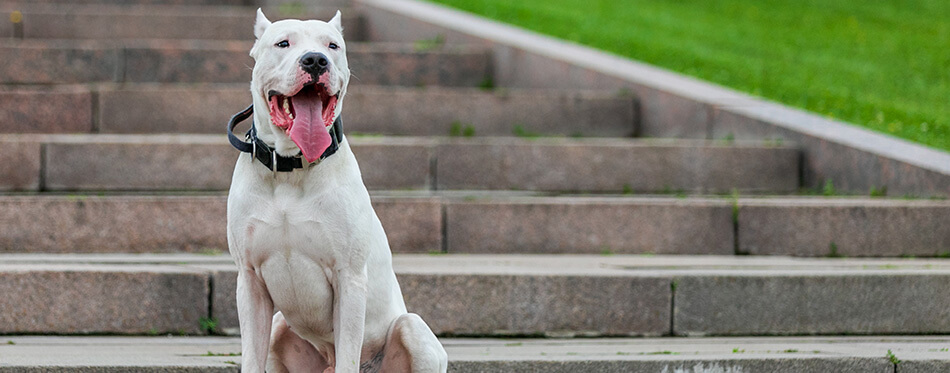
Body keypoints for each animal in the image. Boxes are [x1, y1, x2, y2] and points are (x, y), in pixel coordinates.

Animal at [226, 9, 446, 372]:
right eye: (283, 43)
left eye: (333, 45)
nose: (316, 60)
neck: (291, 169)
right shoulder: (250, 281)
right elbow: (251, 358)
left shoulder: (349, 279)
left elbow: (348, 349)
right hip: (279, 326)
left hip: (412, 328)